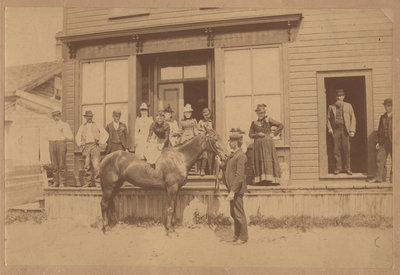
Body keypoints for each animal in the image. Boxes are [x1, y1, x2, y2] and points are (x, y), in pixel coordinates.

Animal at [98, 128, 228, 234]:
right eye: (215, 139)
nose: (227, 154)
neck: (179, 157)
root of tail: (105, 158)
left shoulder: (176, 189)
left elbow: (173, 207)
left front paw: (171, 227)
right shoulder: (172, 188)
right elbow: (170, 208)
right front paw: (170, 230)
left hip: (116, 185)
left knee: (109, 203)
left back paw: (112, 224)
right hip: (109, 186)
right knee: (104, 203)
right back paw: (106, 227)